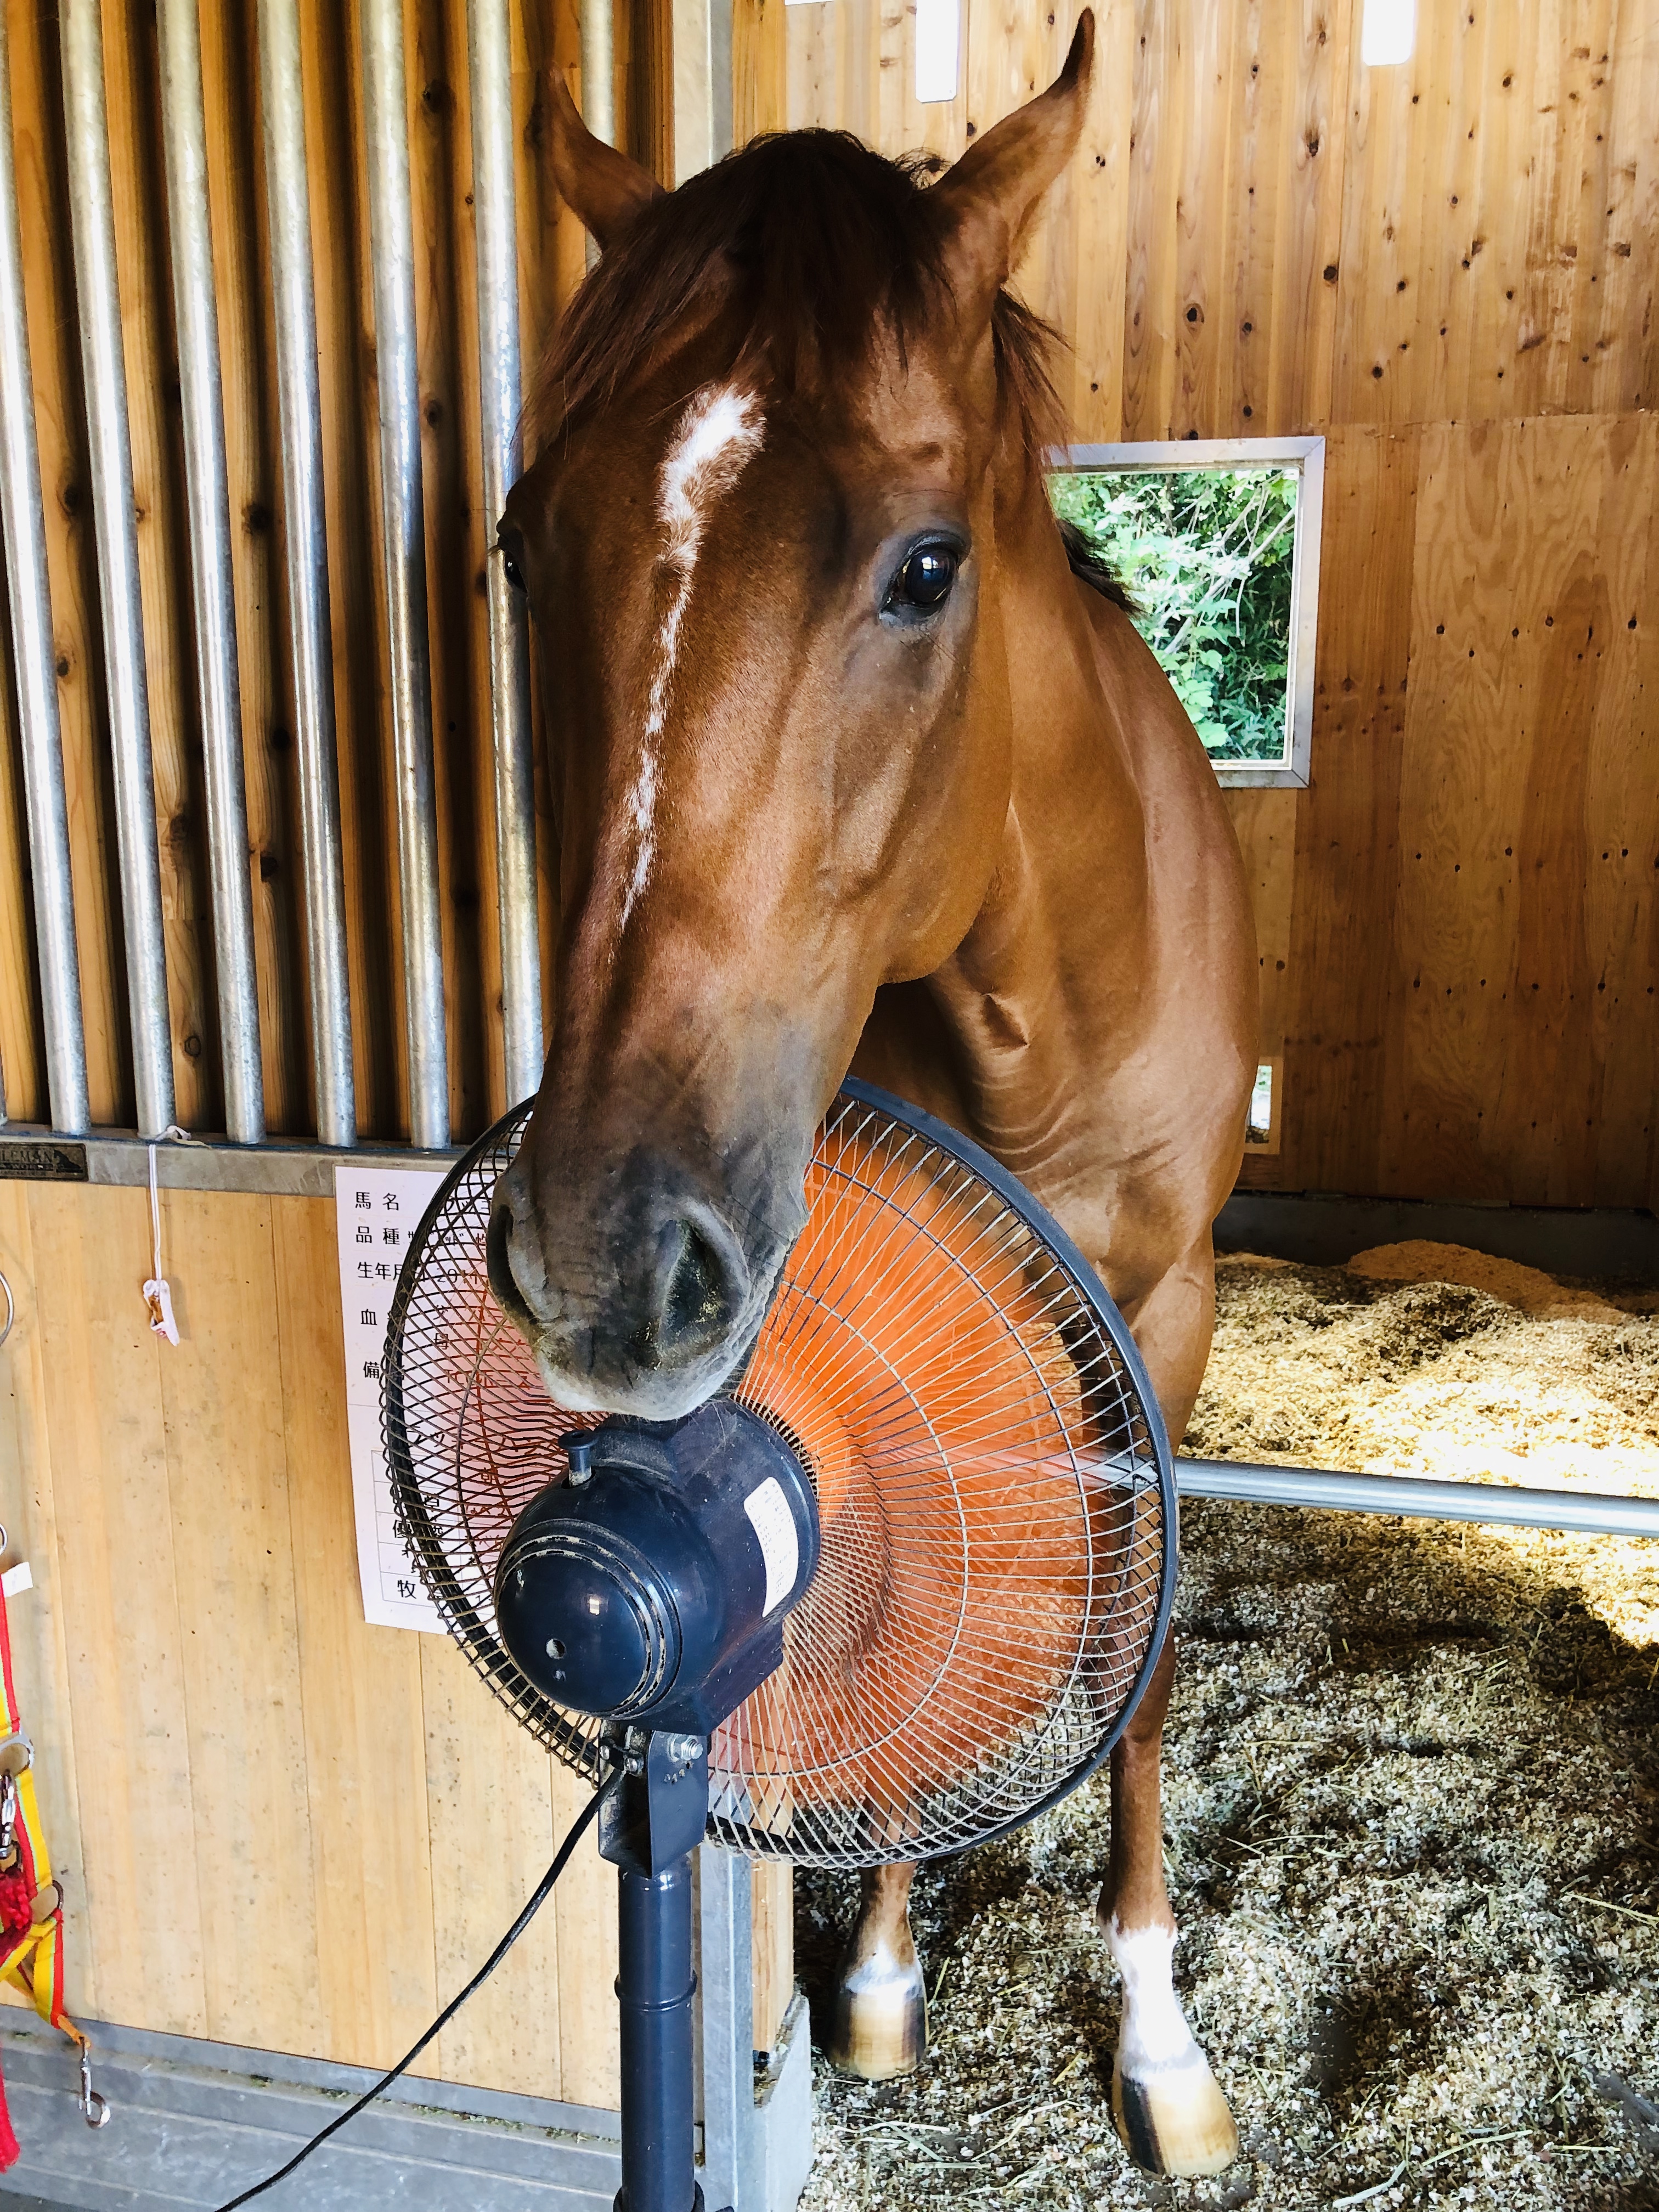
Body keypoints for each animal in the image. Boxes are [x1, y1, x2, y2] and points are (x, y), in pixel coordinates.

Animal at [493, 8, 1256, 2168]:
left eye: (925, 569)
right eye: (518, 549)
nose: (598, 1258)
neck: (1048, 1013)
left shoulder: (1171, 1314)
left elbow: (1141, 1667)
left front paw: (1159, 2036)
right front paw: (892, 1967)